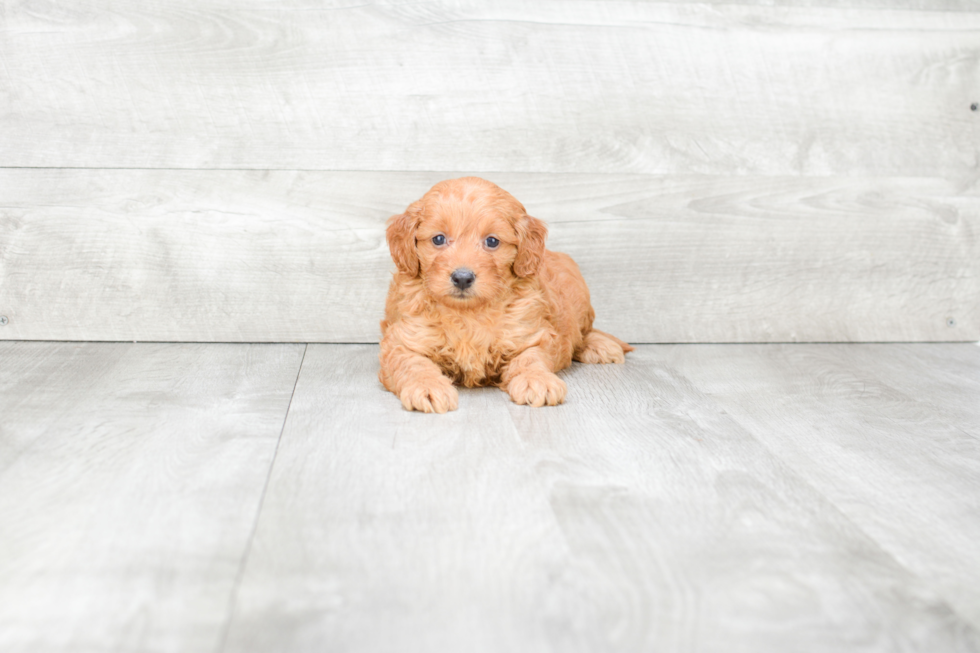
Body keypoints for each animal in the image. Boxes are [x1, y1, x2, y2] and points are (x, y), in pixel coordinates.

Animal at [378, 177, 632, 412]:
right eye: (438, 239)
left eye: (492, 241)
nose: (462, 278)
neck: (469, 313)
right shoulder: (404, 339)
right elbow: (412, 363)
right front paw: (427, 386)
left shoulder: (532, 334)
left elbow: (531, 358)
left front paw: (537, 380)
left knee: (583, 332)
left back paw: (599, 346)